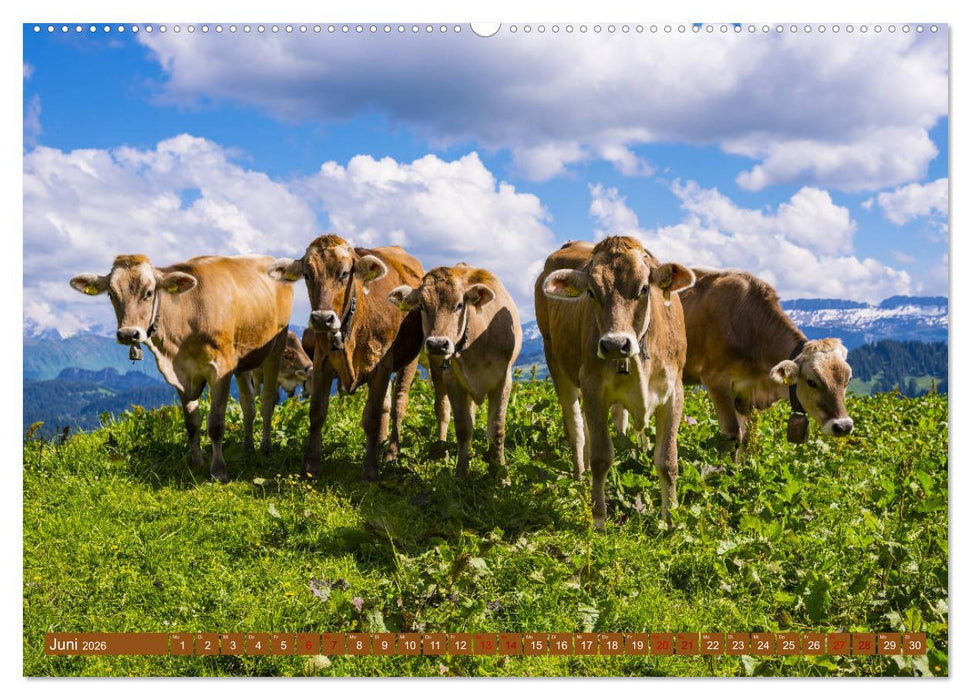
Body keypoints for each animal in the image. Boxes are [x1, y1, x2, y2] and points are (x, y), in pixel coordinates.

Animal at [70, 254, 293, 482]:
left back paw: (265, 450)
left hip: (276, 346)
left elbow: (215, 424)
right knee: (248, 404)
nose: (128, 334)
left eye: (149, 292)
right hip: (243, 357)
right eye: (111, 294)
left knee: (267, 400)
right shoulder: (180, 374)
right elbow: (192, 422)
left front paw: (219, 470)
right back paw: (247, 449)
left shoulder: (221, 369)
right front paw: (195, 462)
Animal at [268, 235, 424, 481]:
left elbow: (371, 417)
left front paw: (370, 470)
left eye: (344, 273)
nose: (322, 318)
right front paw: (310, 466)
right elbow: (317, 412)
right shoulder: (321, 362)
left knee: (398, 403)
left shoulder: (382, 365)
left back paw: (390, 453)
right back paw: (379, 443)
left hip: (410, 360)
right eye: (308, 274)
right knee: (386, 405)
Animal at [389, 265, 522, 481]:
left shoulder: (504, 379)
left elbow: (496, 428)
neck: (477, 338)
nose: (437, 344)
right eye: (422, 306)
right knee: (442, 408)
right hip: (438, 372)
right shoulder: (452, 380)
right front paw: (461, 473)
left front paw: (501, 474)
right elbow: (462, 427)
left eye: (459, 305)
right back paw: (441, 447)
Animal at [535, 237, 696, 529]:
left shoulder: (674, 393)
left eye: (644, 288)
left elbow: (668, 460)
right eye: (591, 292)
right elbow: (601, 457)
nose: (614, 344)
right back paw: (580, 474)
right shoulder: (593, 387)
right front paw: (599, 517)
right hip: (555, 361)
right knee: (576, 426)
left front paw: (670, 518)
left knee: (617, 421)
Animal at [679, 267, 854, 457]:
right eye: (812, 382)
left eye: (847, 381)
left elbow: (746, 440)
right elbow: (732, 437)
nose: (843, 426)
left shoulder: (746, 394)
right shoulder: (716, 380)